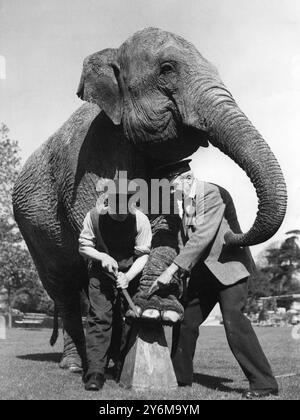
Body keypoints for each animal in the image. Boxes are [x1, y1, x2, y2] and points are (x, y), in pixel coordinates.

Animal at [12, 28, 288, 370]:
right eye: (167, 69)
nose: (230, 236)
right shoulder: (91, 158)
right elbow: (99, 228)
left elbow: (158, 229)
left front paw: (157, 311)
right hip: (34, 232)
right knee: (63, 289)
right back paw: (76, 364)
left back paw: (111, 359)